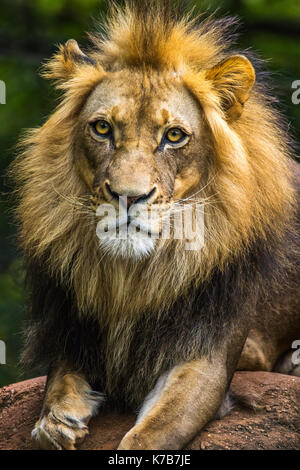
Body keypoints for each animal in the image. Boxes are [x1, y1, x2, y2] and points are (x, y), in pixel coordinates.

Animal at [11, 1, 300, 452]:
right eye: (102, 128)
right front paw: (57, 420)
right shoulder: (74, 330)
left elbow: (149, 436)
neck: (135, 278)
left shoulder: (205, 360)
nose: (128, 197)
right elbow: (56, 384)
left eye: (174, 135)